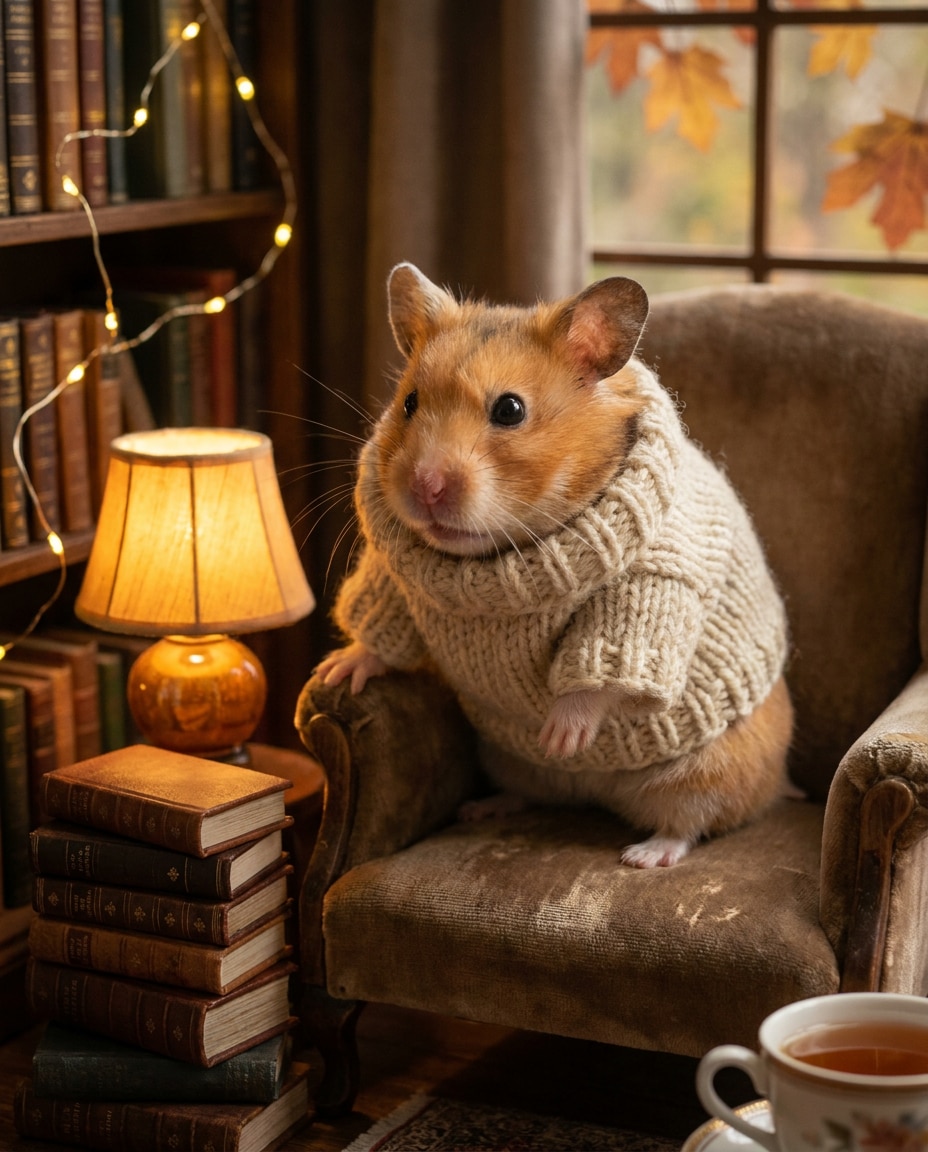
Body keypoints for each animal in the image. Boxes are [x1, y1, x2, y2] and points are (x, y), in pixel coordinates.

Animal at [318, 262, 794, 868]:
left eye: (510, 410)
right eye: (409, 403)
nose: (424, 487)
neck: (499, 554)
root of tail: (594, 793)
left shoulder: (651, 590)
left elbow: (599, 676)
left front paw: (561, 738)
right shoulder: (397, 580)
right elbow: (381, 632)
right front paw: (337, 671)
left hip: (709, 770)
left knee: (693, 820)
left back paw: (643, 854)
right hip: (507, 761)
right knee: (530, 791)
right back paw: (485, 807)